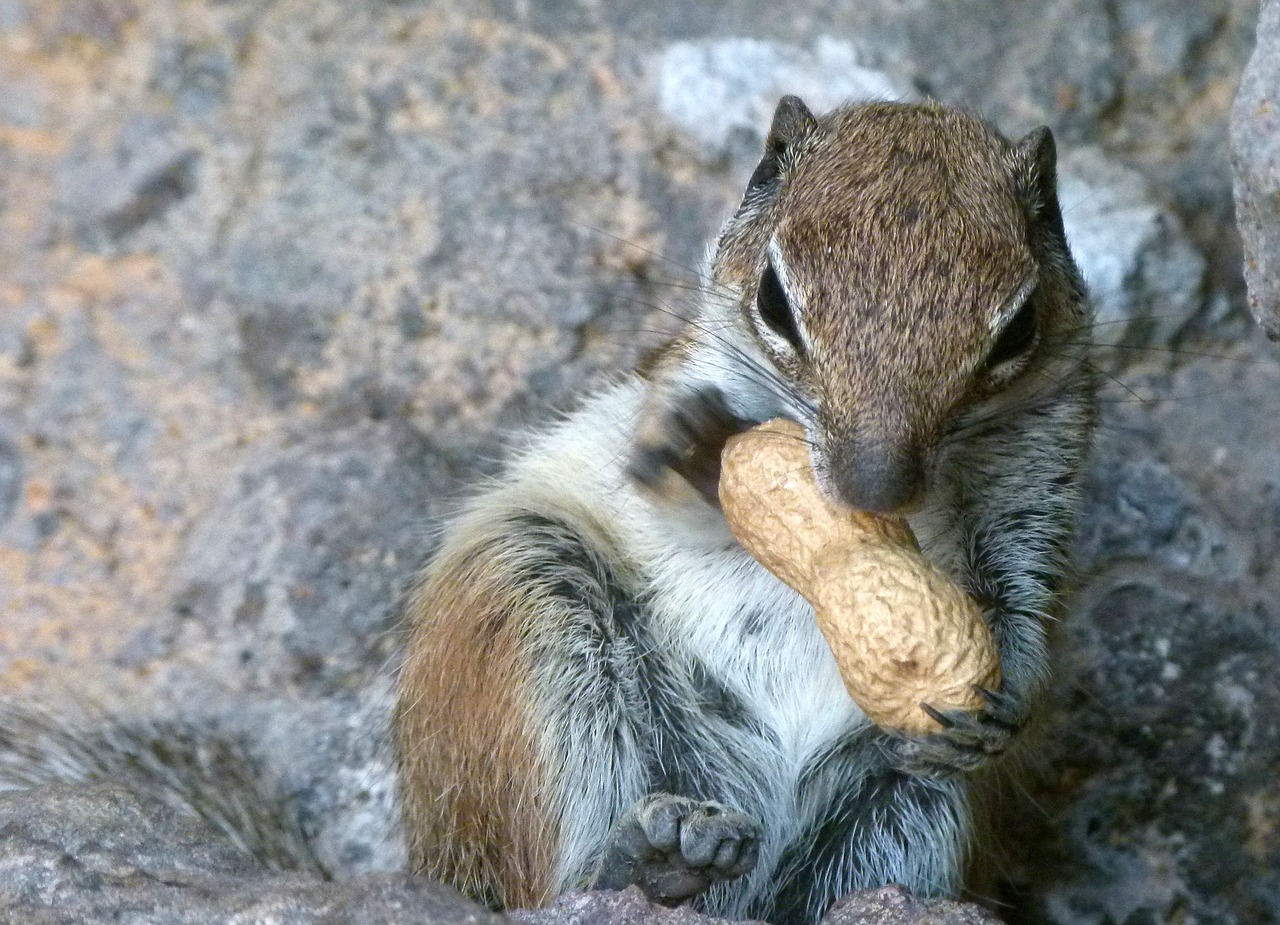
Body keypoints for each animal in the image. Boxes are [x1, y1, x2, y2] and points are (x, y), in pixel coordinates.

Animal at [394, 95, 1095, 925]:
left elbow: (1024, 603)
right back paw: (650, 861)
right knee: (555, 883)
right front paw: (691, 445)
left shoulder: (1039, 484)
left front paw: (1001, 704)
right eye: (773, 301)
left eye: (1018, 329)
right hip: (531, 597)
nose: (873, 489)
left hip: (908, 810)